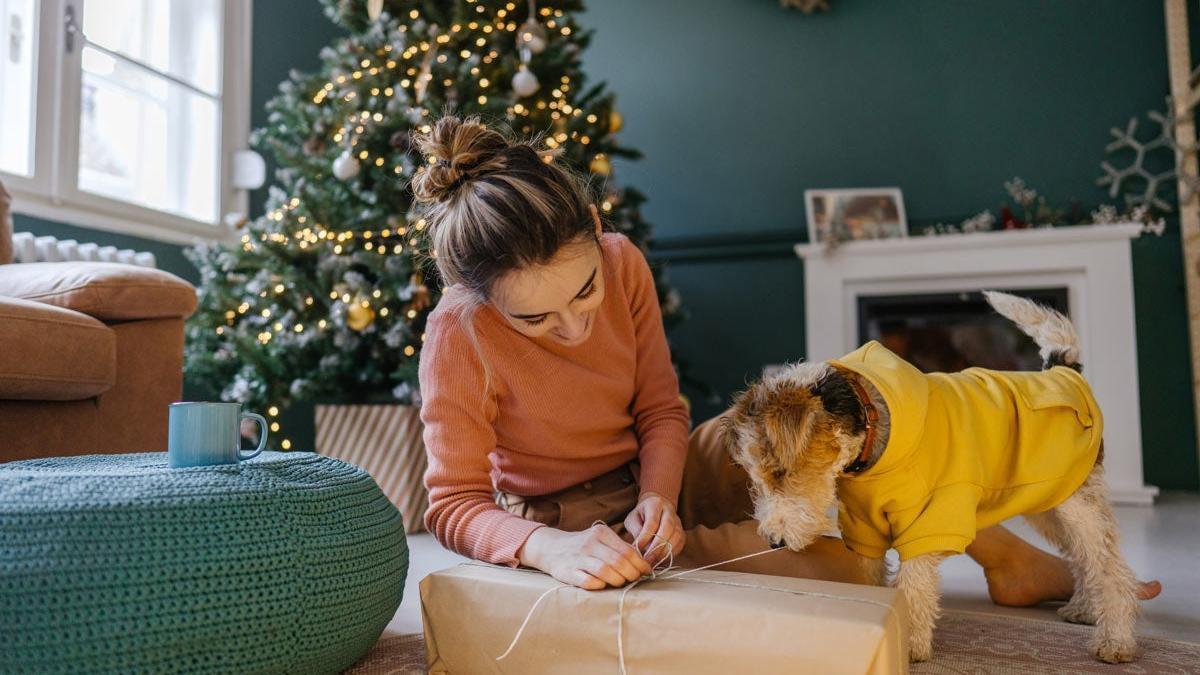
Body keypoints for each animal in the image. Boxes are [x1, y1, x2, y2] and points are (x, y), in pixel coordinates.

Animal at [724, 290, 1137, 662]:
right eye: (756, 476)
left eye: (780, 471)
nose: (773, 540)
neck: (872, 425)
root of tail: (1064, 371)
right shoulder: (865, 529)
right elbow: (873, 581)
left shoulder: (928, 521)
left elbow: (913, 588)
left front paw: (908, 647)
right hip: (1048, 505)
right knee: (1082, 558)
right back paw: (1083, 609)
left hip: (1078, 504)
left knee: (1110, 567)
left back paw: (1114, 642)